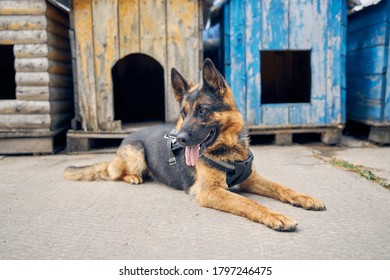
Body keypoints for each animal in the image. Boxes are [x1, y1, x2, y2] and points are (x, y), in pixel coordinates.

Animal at [64, 58, 326, 231]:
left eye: (202, 111)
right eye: (184, 112)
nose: (179, 138)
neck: (227, 149)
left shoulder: (251, 179)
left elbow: (282, 187)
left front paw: (305, 198)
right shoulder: (210, 192)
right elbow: (248, 202)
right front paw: (275, 215)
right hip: (136, 154)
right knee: (114, 172)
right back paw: (133, 177)